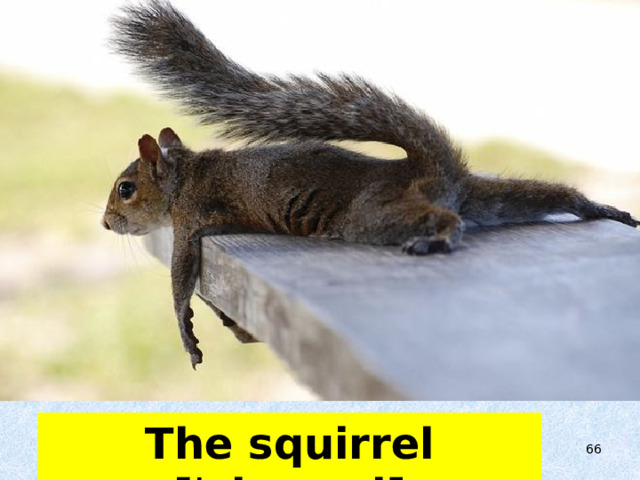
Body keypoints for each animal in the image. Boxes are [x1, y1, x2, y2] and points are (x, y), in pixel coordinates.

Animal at [103, 0, 639, 368]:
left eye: (126, 188)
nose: (107, 224)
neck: (183, 174)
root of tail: (429, 168)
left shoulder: (190, 218)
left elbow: (180, 280)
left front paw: (187, 334)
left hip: (372, 213)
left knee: (446, 217)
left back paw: (439, 237)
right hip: (488, 195)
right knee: (542, 196)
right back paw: (602, 209)